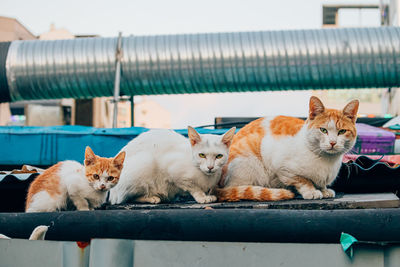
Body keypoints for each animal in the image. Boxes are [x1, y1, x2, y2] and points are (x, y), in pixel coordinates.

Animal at [108, 127, 236, 205]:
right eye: (202, 155)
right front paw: (202, 197)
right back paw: (151, 197)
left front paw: (208, 194)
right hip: (145, 162)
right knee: (127, 198)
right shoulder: (173, 171)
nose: (210, 167)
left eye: (219, 156)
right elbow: (193, 187)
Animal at [217, 96, 358, 201]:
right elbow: (303, 180)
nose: (333, 142)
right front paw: (311, 191)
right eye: (323, 130)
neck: (327, 161)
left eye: (342, 131)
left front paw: (323, 190)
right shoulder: (282, 167)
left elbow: (320, 183)